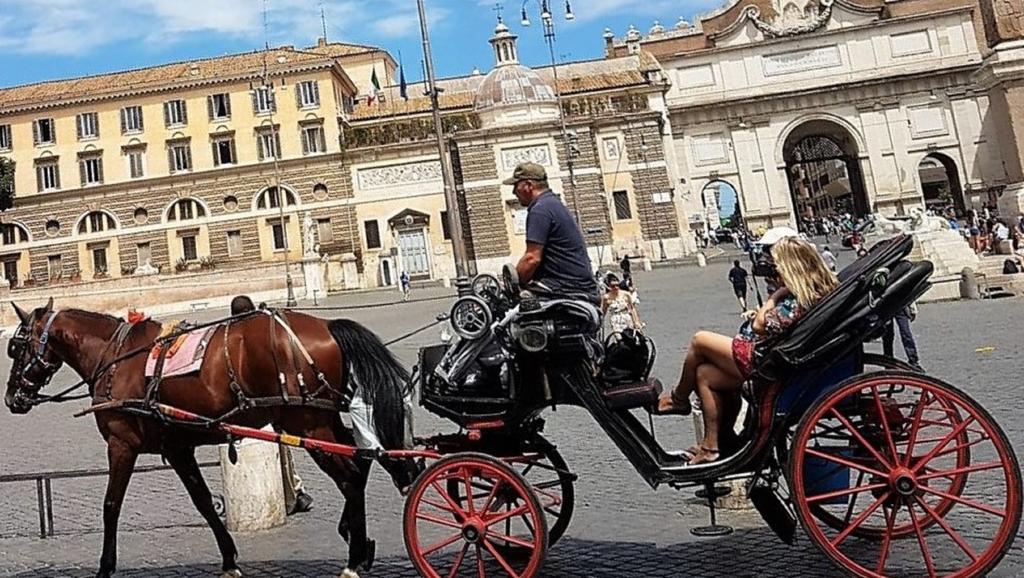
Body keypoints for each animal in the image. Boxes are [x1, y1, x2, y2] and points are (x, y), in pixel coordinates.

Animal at [7, 297, 415, 578]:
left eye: (15, 347)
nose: (11, 398)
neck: (116, 358)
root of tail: (328, 325)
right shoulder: (178, 447)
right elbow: (203, 502)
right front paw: (229, 558)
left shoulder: (122, 445)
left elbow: (110, 507)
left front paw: (106, 566)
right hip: (322, 418)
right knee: (362, 460)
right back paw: (358, 541)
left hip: (307, 423)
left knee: (350, 475)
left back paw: (354, 558)